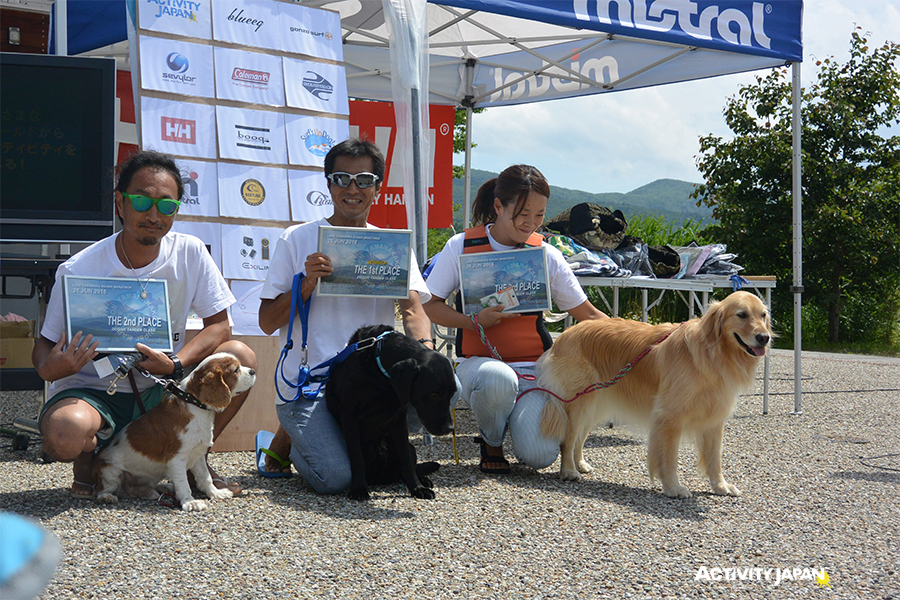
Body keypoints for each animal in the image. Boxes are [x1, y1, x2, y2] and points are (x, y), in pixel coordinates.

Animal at [326, 326, 458, 500]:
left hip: (409, 447)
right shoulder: (349, 416)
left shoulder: (399, 419)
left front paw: (417, 488)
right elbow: (356, 457)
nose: (449, 428)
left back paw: (422, 479)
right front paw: (359, 489)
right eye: (434, 394)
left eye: (452, 393)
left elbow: (406, 460)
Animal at [536, 290, 768, 496]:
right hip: (579, 402)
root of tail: (567, 333)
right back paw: (569, 471)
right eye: (742, 314)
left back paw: (580, 464)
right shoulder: (670, 417)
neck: (712, 354)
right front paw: (673, 488)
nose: (764, 338)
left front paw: (720, 486)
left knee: (579, 437)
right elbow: (669, 457)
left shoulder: (714, 418)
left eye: (763, 315)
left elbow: (714, 458)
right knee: (568, 438)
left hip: (594, 404)